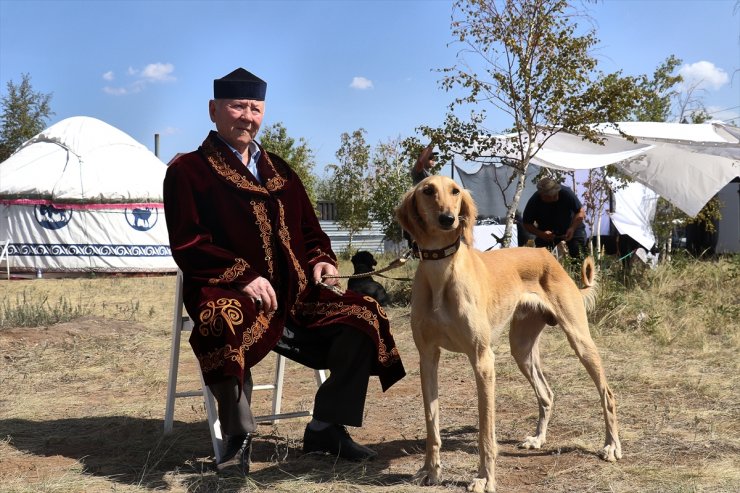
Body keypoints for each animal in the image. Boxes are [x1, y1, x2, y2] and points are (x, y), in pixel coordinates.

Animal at [396, 176, 620, 492]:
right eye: (427, 190)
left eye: (455, 191)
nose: (448, 219)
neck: (442, 271)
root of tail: (546, 254)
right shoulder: (428, 357)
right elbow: (431, 423)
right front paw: (430, 470)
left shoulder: (482, 360)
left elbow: (486, 431)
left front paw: (484, 478)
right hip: (522, 347)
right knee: (546, 393)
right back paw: (538, 439)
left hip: (579, 339)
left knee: (607, 393)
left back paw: (611, 446)